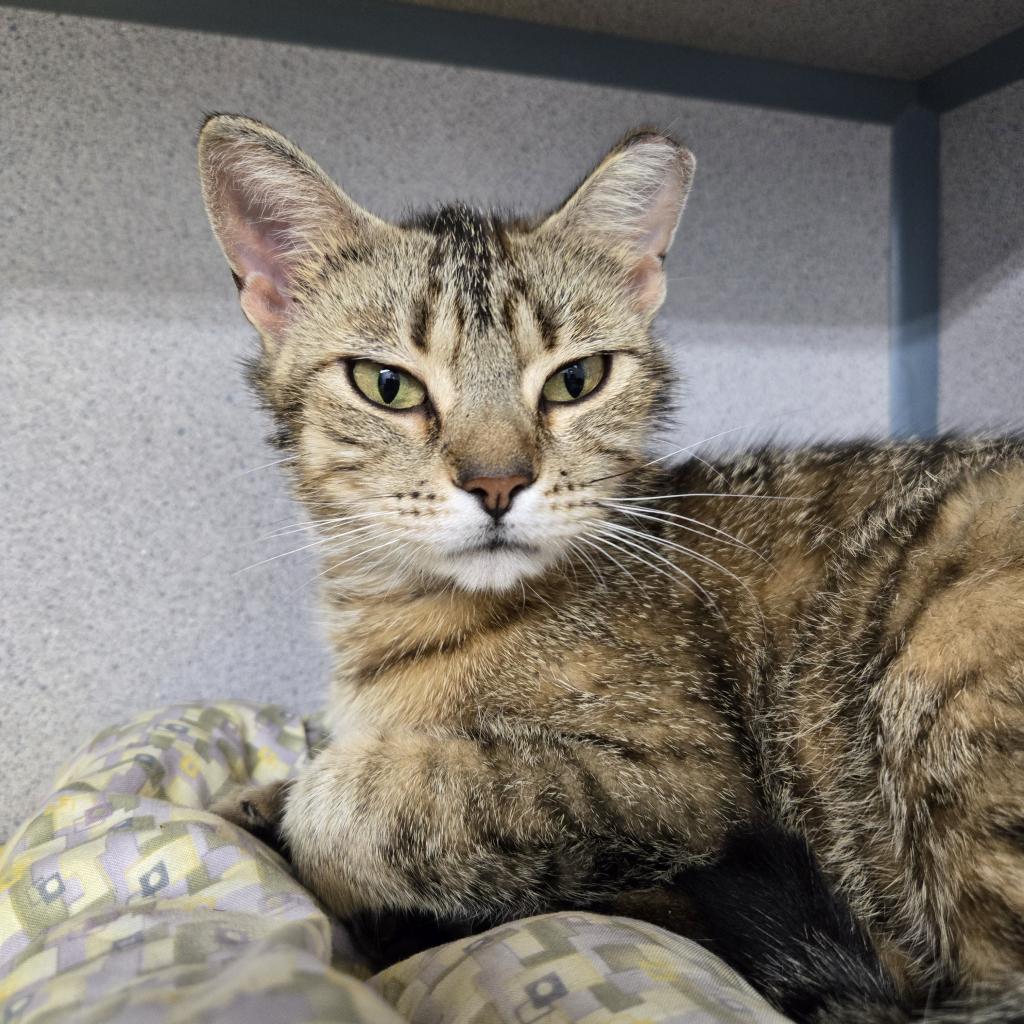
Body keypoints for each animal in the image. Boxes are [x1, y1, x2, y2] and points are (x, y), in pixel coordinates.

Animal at [197, 116, 1024, 1019]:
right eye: (387, 385)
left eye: (575, 380)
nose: (498, 482)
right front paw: (262, 800)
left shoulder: (685, 789)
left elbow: (356, 802)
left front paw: (318, 825)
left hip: (944, 655)